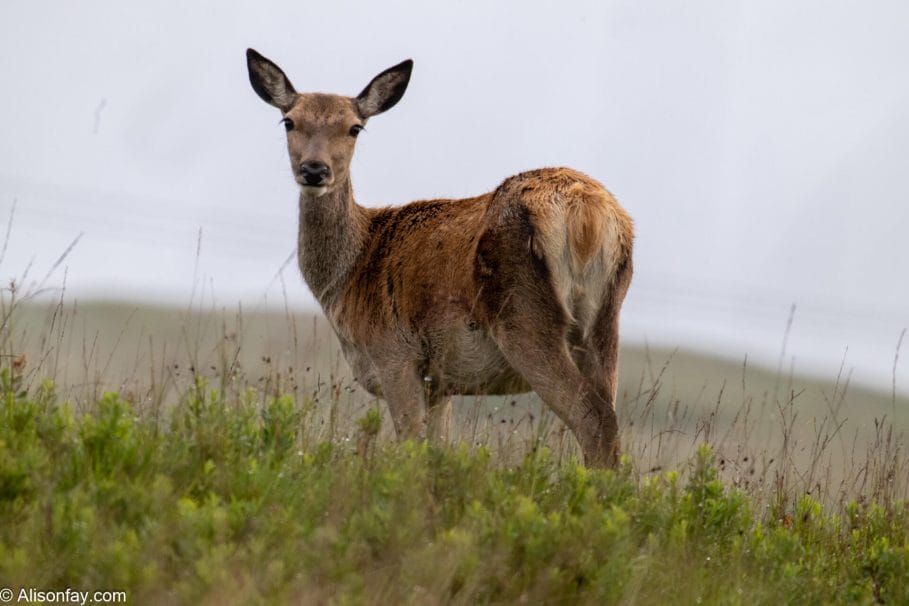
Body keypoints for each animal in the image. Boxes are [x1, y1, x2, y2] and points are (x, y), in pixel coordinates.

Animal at [245, 50, 636, 468]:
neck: (349, 277)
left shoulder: (395, 355)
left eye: (354, 128)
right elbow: (437, 449)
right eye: (289, 121)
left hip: (524, 314)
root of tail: (587, 212)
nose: (315, 170)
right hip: (605, 318)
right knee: (609, 415)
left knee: (592, 417)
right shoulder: (440, 383)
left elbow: (410, 447)